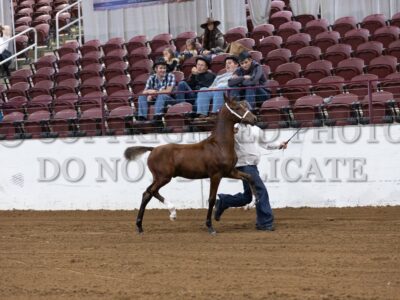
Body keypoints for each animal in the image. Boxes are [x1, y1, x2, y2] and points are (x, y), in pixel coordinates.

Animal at [123, 96, 258, 234]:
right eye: (237, 107)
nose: (254, 119)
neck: (219, 145)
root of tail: (153, 149)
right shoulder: (215, 175)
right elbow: (211, 199)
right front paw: (210, 227)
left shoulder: (229, 171)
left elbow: (249, 177)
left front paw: (252, 204)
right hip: (163, 177)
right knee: (149, 192)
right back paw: (156, 219)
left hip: (159, 178)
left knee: (149, 192)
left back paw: (154, 221)